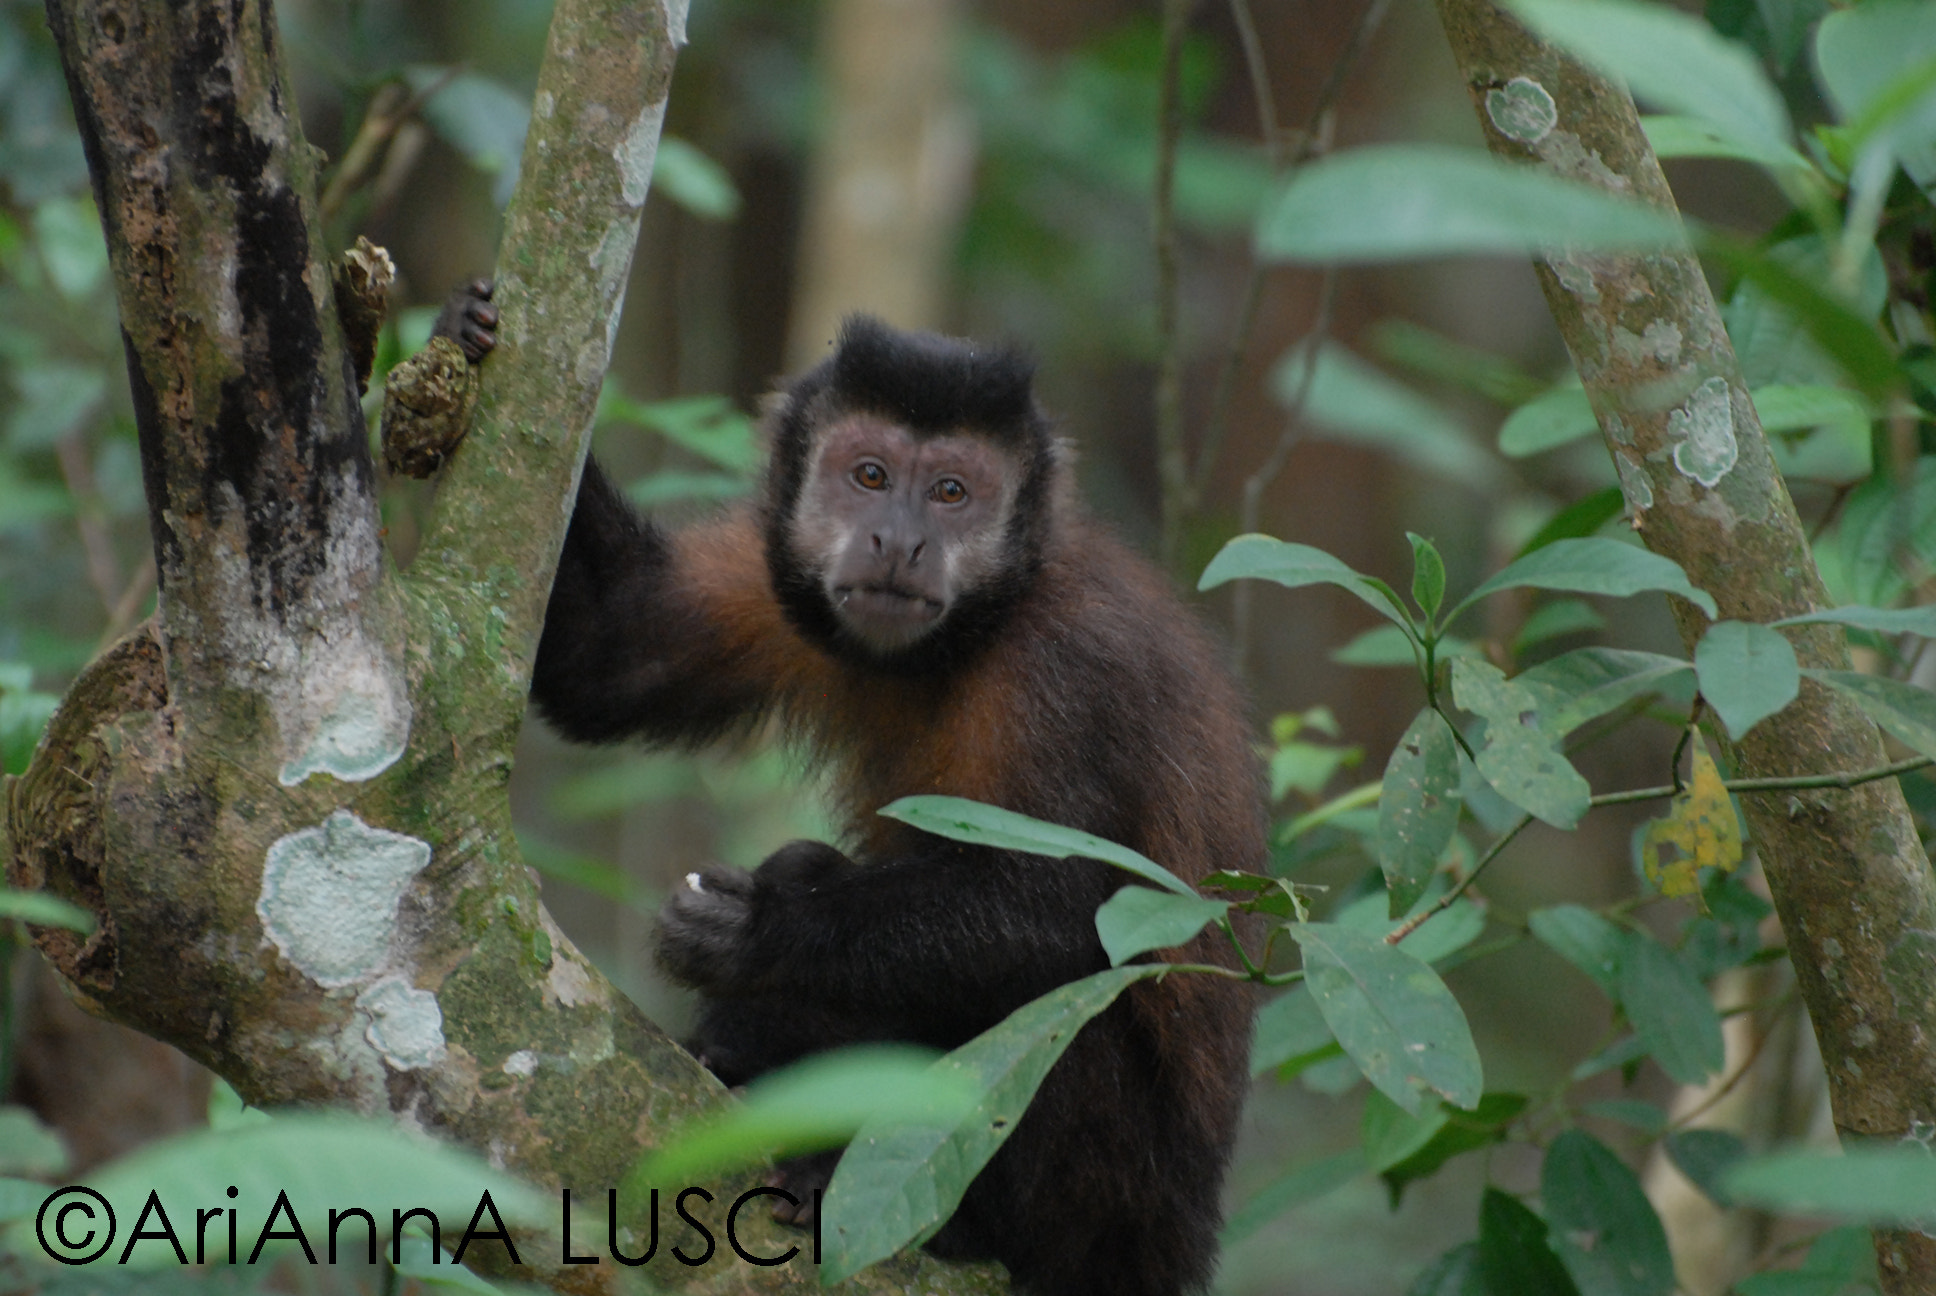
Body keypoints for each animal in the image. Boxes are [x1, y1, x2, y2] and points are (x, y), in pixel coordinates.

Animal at [436, 285, 1263, 1296]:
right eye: (869, 476)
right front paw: (461, 330)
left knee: (1066, 1003)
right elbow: (615, 650)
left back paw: (945, 1217)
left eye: (950, 493)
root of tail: (1178, 1240)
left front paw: (760, 931)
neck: (968, 635)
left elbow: (1072, 915)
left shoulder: (1074, 667)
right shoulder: (778, 571)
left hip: (1115, 1204)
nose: (900, 540)